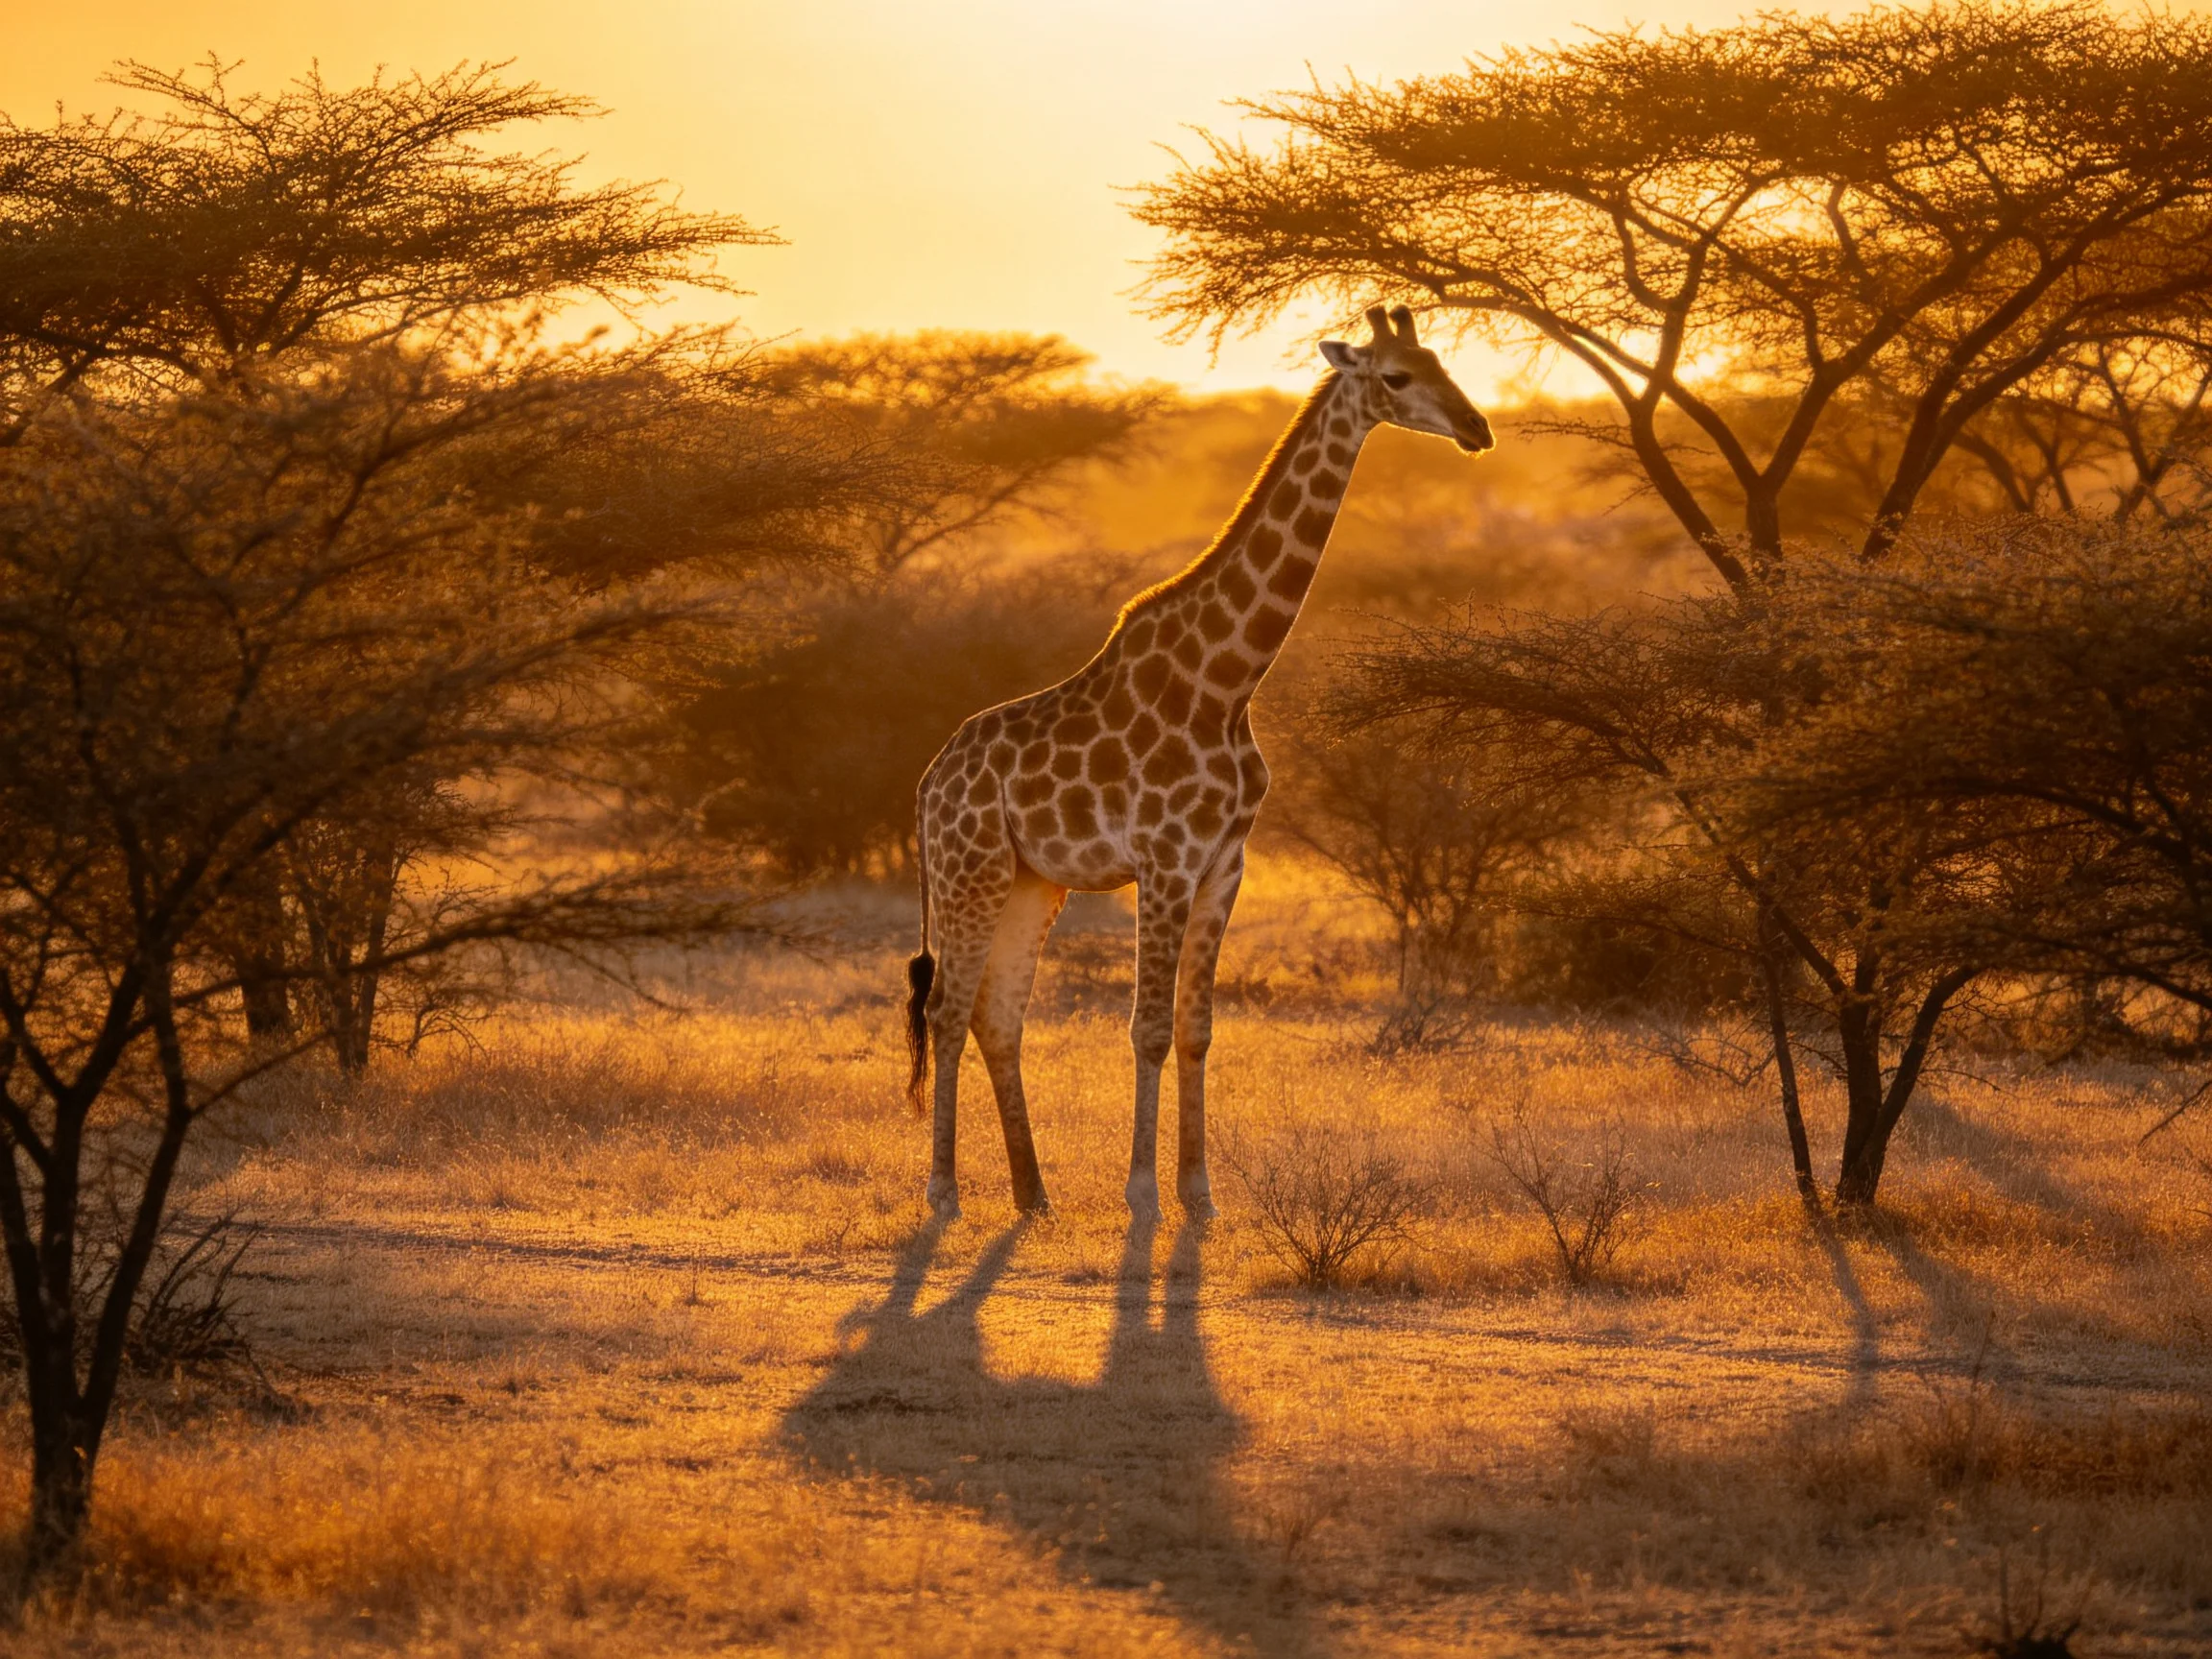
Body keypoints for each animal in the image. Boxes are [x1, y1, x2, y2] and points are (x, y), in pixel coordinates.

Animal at [902, 304, 1492, 1222]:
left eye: (1441, 362)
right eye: (1397, 376)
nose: (1477, 428)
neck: (1229, 680)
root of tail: (930, 780)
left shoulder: (1226, 863)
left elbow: (1196, 1028)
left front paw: (1200, 1193)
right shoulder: (1167, 860)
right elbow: (1146, 1027)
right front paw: (1144, 1194)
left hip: (1034, 880)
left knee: (998, 1016)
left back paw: (1035, 1195)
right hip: (973, 870)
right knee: (946, 1009)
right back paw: (943, 1192)